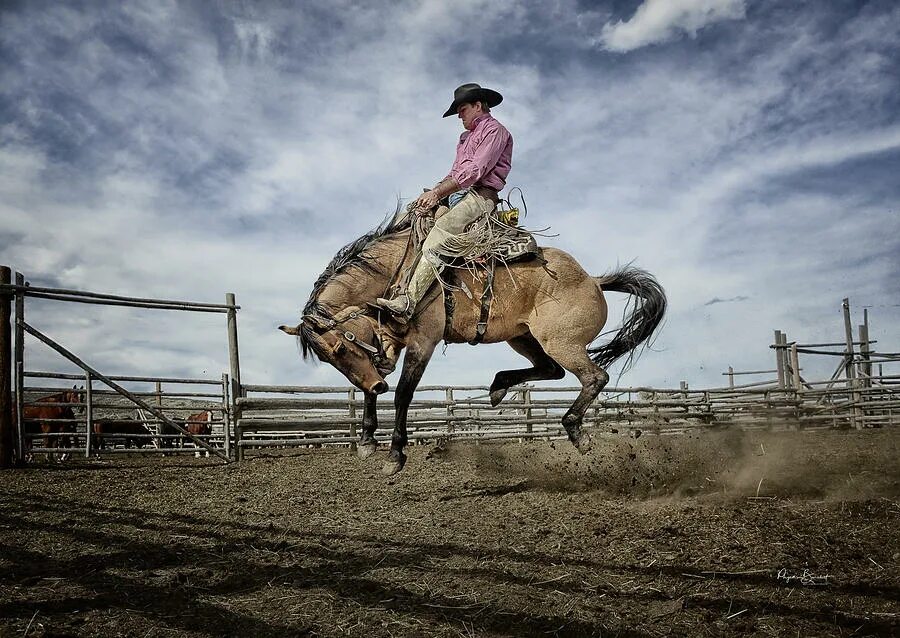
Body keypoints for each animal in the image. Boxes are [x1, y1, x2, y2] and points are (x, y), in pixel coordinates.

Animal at [282, 211, 668, 476]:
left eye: (340, 348)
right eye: (328, 360)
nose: (377, 384)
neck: (398, 270)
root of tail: (594, 280)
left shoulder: (423, 342)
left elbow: (404, 392)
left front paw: (394, 455)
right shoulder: (389, 344)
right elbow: (375, 385)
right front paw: (365, 441)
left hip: (561, 342)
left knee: (593, 377)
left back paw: (577, 432)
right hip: (523, 337)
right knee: (552, 370)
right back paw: (498, 387)